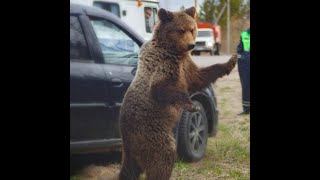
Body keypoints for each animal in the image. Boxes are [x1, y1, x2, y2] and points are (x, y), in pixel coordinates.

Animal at [118, 6, 238, 179]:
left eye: (192, 29)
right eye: (180, 30)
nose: (192, 45)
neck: (174, 50)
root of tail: (126, 138)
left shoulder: (186, 66)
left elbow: (200, 77)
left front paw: (230, 62)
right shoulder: (164, 65)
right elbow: (162, 88)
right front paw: (191, 104)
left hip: (134, 149)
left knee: (129, 170)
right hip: (151, 133)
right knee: (163, 157)